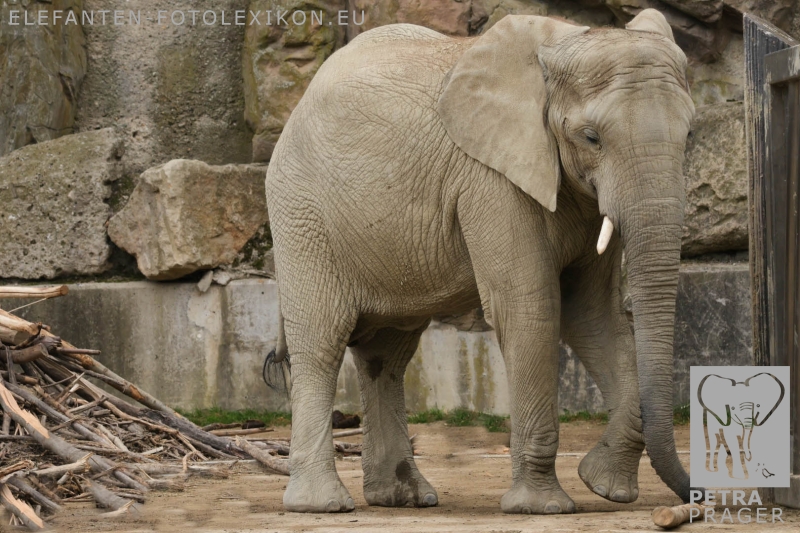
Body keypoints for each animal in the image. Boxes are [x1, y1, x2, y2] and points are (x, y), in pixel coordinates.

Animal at [264, 8, 696, 514]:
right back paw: (323, 504)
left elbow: (593, 315)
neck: (564, 40)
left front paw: (604, 486)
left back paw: (406, 497)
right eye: (591, 138)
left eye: (690, 134)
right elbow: (531, 309)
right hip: (302, 214)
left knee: (386, 353)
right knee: (321, 341)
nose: (694, 494)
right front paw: (541, 507)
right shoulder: (490, 179)